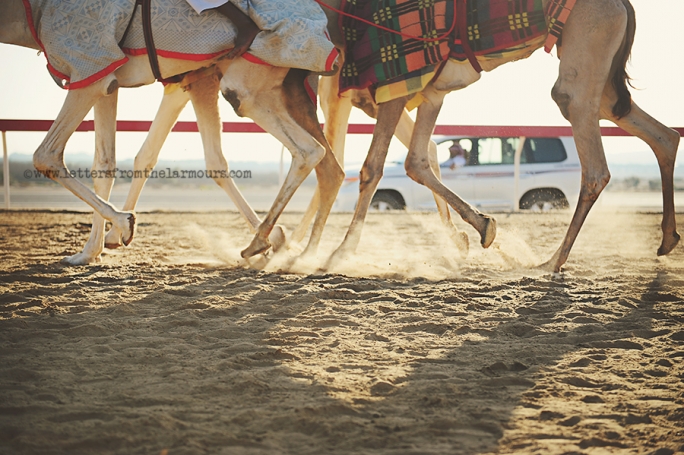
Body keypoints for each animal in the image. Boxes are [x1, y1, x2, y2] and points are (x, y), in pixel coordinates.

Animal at [308, 0, 679, 272]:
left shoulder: (397, 82)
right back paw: (667, 240)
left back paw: (552, 261)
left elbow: (372, 168)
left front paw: (339, 253)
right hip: (602, 75)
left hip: (588, 46)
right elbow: (416, 162)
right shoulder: (430, 90)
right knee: (663, 136)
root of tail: (623, 5)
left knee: (594, 164)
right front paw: (484, 229)